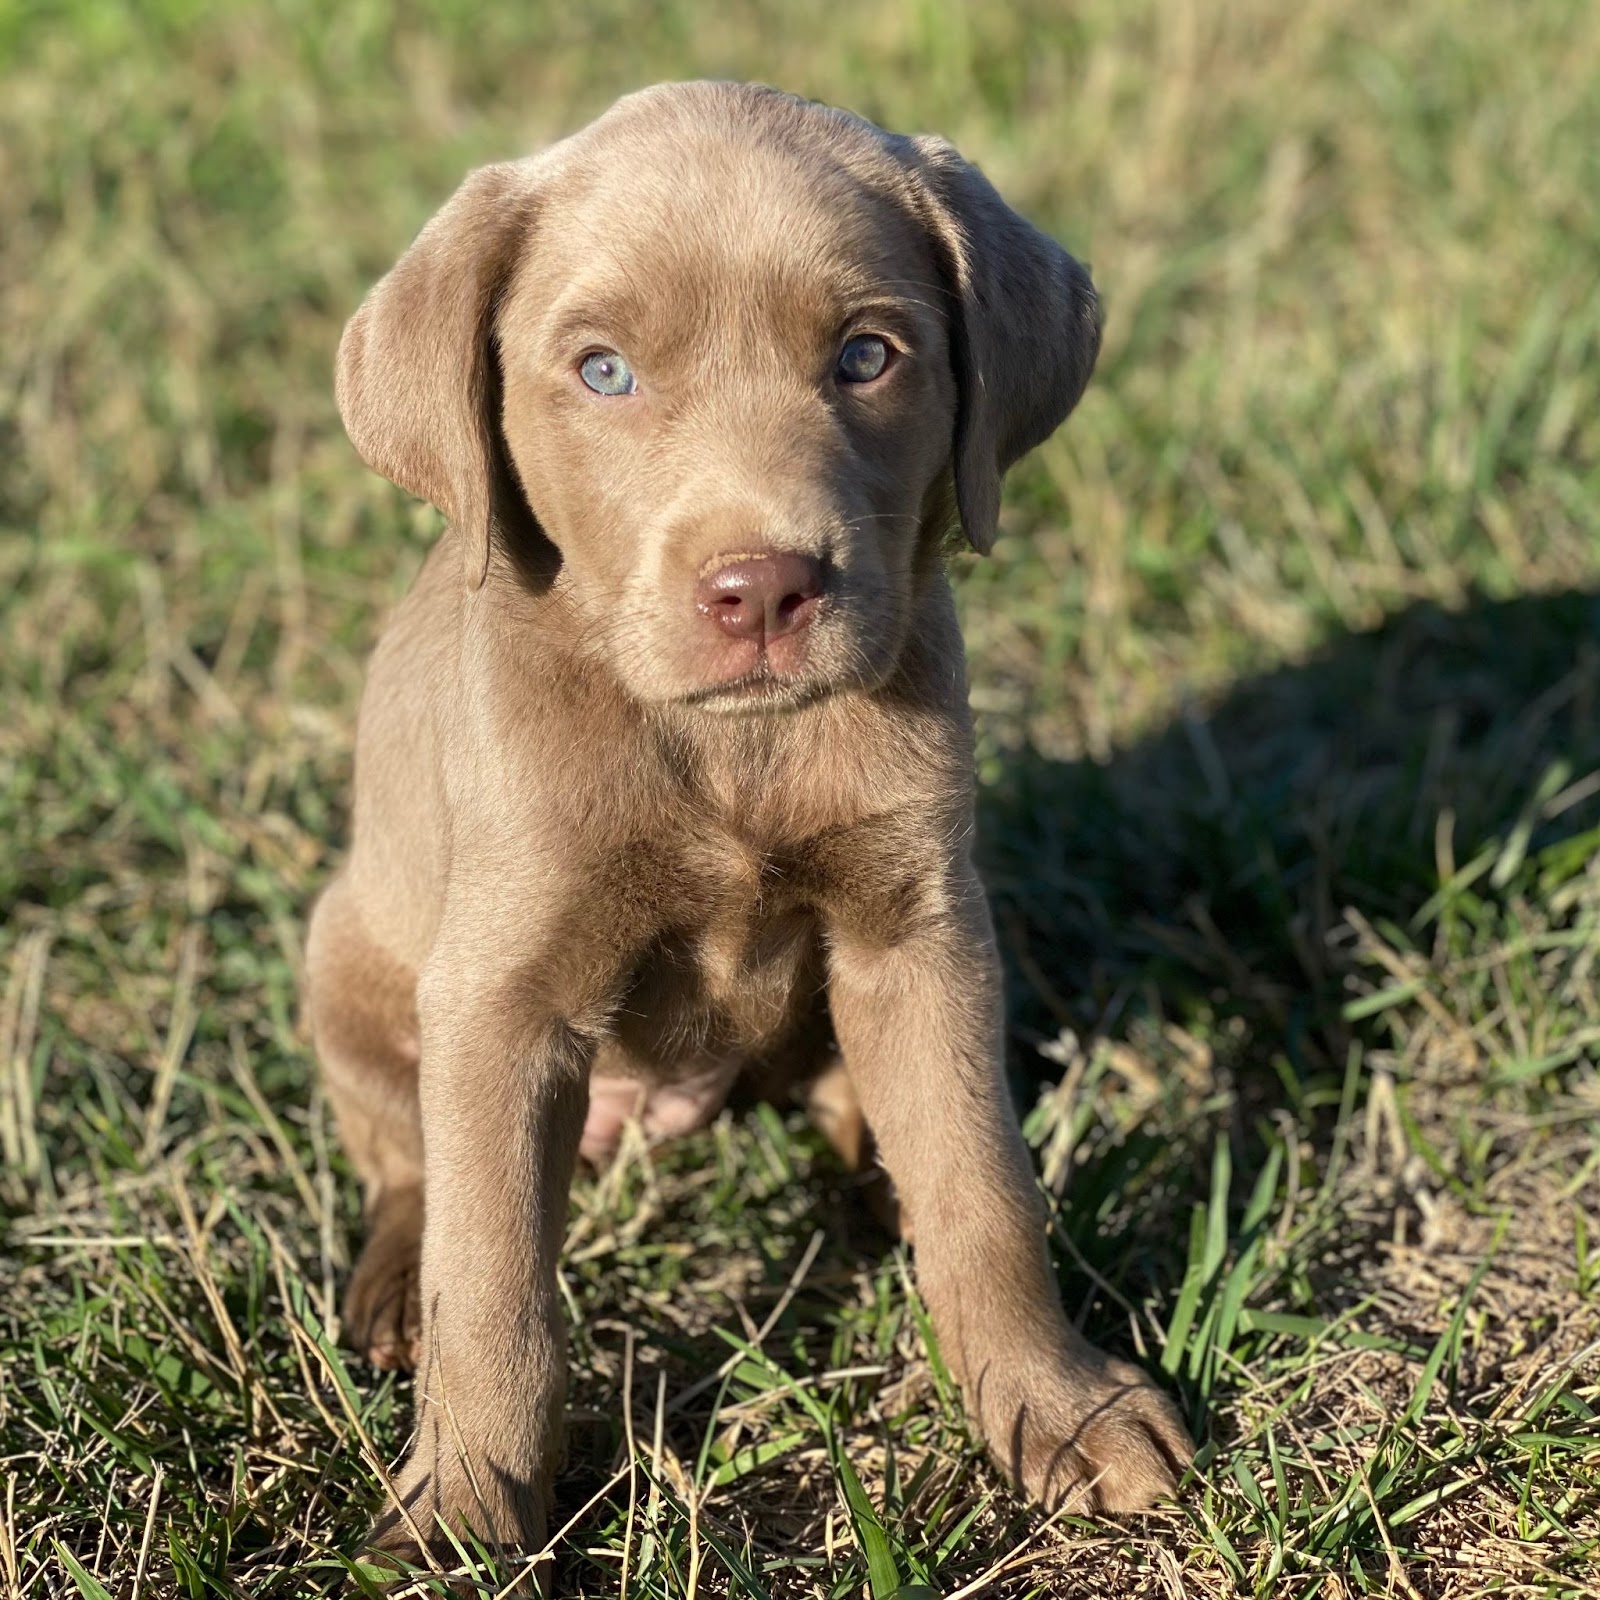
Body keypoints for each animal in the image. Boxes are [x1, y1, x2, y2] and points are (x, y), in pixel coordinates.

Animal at [308, 84, 1190, 1561]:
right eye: (603, 371)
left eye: (867, 355)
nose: (763, 588)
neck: (732, 750)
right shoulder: (500, 992)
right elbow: (490, 1283)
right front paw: (467, 1512)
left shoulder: (918, 927)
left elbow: (984, 1187)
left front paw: (1060, 1410)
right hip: (338, 953)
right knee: (404, 1164)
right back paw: (387, 1288)